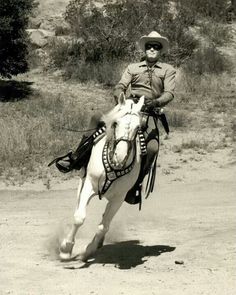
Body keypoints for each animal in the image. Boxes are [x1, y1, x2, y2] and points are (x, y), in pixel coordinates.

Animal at [60, 94, 145, 262]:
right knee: (78, 206)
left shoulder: (118, 198)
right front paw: (66, 249)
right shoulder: (89, 186)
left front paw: (88, 250)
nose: (120, 156)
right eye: (115, 123)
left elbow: (103, 226)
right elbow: (79, 218)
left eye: (138, 127)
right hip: (82, 183)